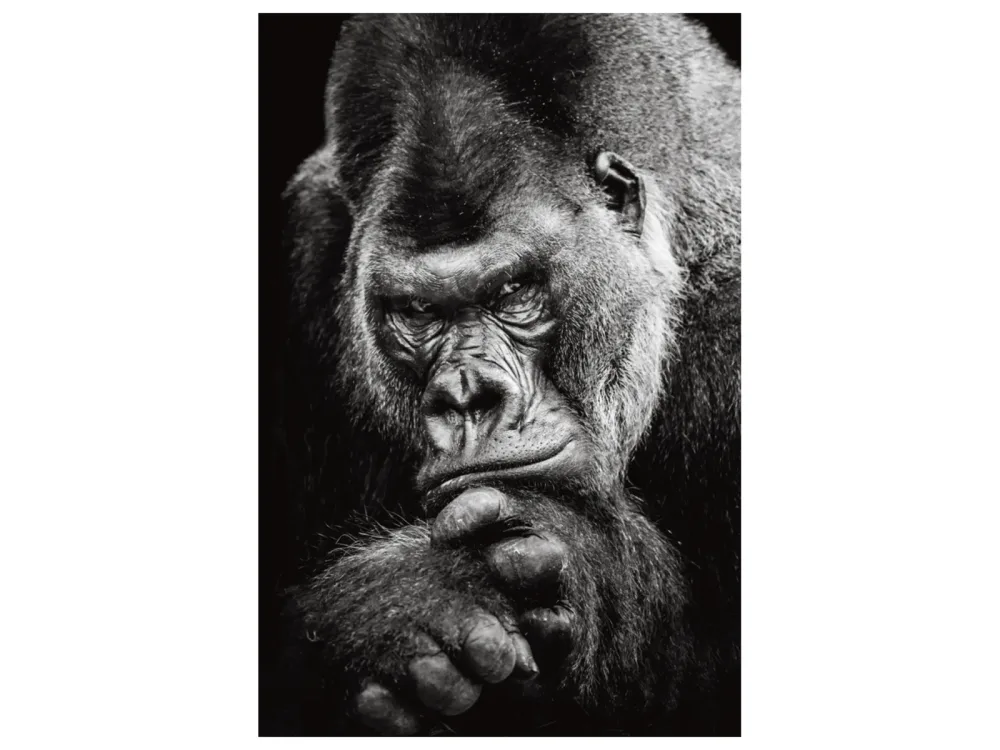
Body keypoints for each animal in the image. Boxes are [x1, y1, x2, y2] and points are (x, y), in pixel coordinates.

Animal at [262, 13, 740, 736]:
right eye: (418, 311)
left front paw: (584, 559)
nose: (467, 396)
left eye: (514, 292)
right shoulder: (309, 247)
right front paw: (398, 608)